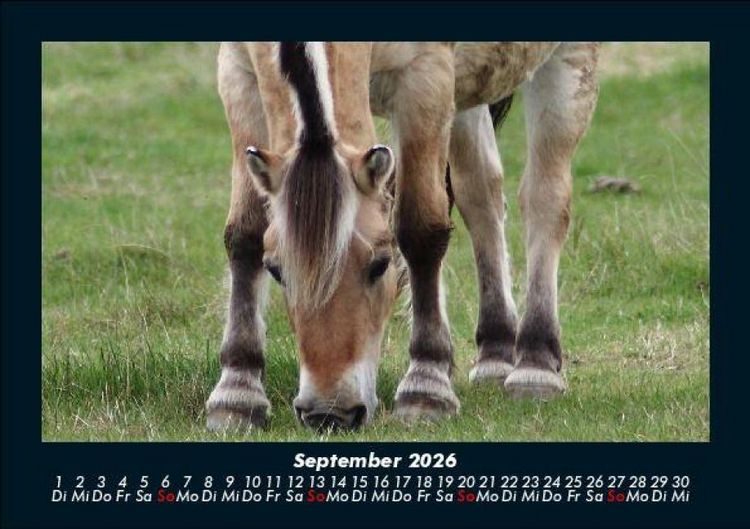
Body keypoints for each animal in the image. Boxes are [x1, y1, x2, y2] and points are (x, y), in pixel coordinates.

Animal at [205, 42, 599, 431]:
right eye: (275, 270)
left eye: (380, 264)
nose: (329, 413)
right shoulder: (237, 75)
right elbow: (246, 234)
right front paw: (237, 393)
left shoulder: (426, 78)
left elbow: (420, 230)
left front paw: (426, 387)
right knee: (481, 194)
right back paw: (495, 353)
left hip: (568, 65)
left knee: (544, 201)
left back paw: (536, 365)